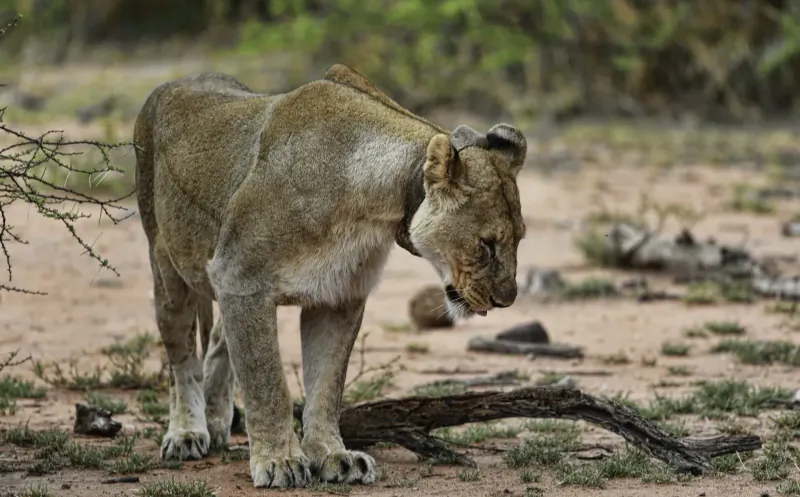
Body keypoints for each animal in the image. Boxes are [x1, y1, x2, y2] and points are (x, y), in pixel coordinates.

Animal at [133, 63, 526, 489]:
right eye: (487, 244)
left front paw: (332, 456)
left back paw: (218, 420)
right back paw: (187, 432)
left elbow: (326, 387)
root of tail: (177, 80)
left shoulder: (337, 298)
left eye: (520, 238)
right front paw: (281, 461)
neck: (374, 204)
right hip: (166, 266)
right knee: (181, 356)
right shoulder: (241, 279)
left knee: (220, 339)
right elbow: (266, 380)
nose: (507, 300)